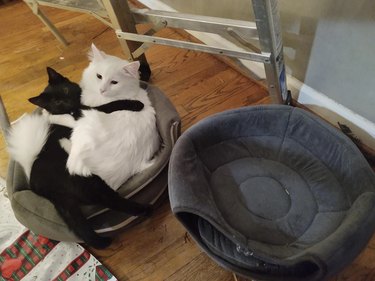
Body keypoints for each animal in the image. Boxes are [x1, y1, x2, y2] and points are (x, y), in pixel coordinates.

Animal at [26, 68, 151, 247]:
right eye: (57, 102)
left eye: (65, 90)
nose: (67, 101)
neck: (75, 108)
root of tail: (37, 183)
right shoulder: (91, 110)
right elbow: (110, 105)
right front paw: (136, 104)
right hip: (88, 183)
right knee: (110, 200)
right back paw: (145, 210)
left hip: (67, 201)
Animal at [49, 43, 160, 189]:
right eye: (99, 76)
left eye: (114, 82)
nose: (102, 90)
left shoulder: (85, 111)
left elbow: (65, 116)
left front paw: (48, 115)